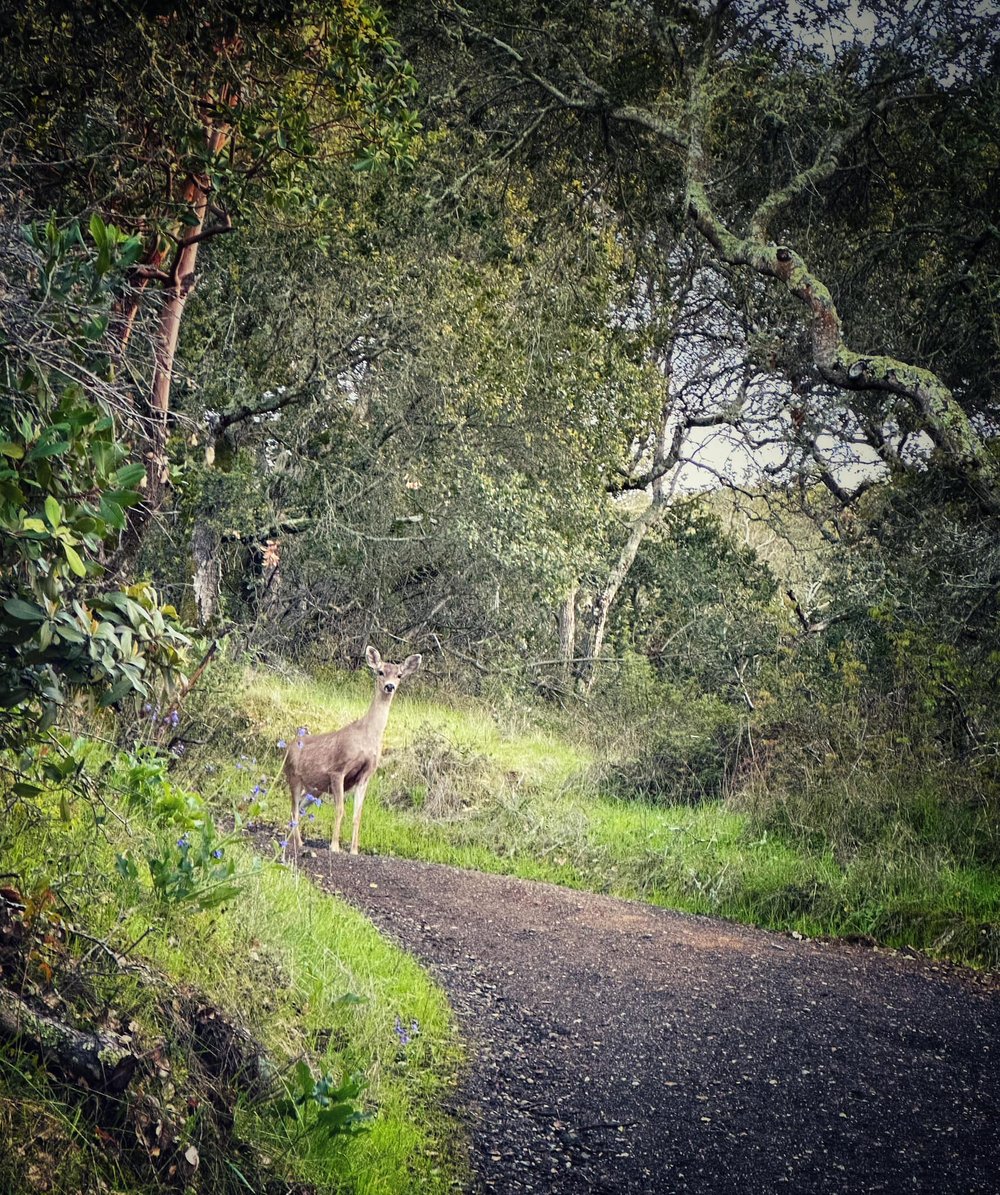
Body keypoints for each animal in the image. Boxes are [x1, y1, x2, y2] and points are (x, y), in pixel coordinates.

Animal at [283, 650, 420, 855]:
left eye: (399, 675)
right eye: (380, 672)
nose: (389, 686)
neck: (366, 738)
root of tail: (288, 747)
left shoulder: (365, 775)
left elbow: (358, 814)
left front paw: (354, 850)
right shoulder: (338, 769)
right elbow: (340, 809)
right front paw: (334, 846)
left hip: (315, 789)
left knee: (299, 807)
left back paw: (293, 840)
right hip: (293, 776)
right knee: (293, 808)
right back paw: (298, 842)